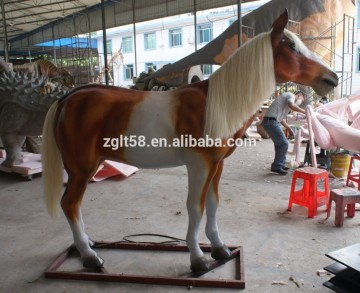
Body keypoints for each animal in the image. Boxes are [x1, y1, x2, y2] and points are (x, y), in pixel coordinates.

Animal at [41, 10, 338, 272]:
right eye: (291, 45)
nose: (331, 79)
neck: (215, 103)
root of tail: (67, 99)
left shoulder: (216, 165)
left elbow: (213, 204)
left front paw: (219, 249)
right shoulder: (199, 165)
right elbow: (195, 208)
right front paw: (198, 259)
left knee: (74, 206)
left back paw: (87, 244)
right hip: (82, 169)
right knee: (70, 204)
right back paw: (89, 256)